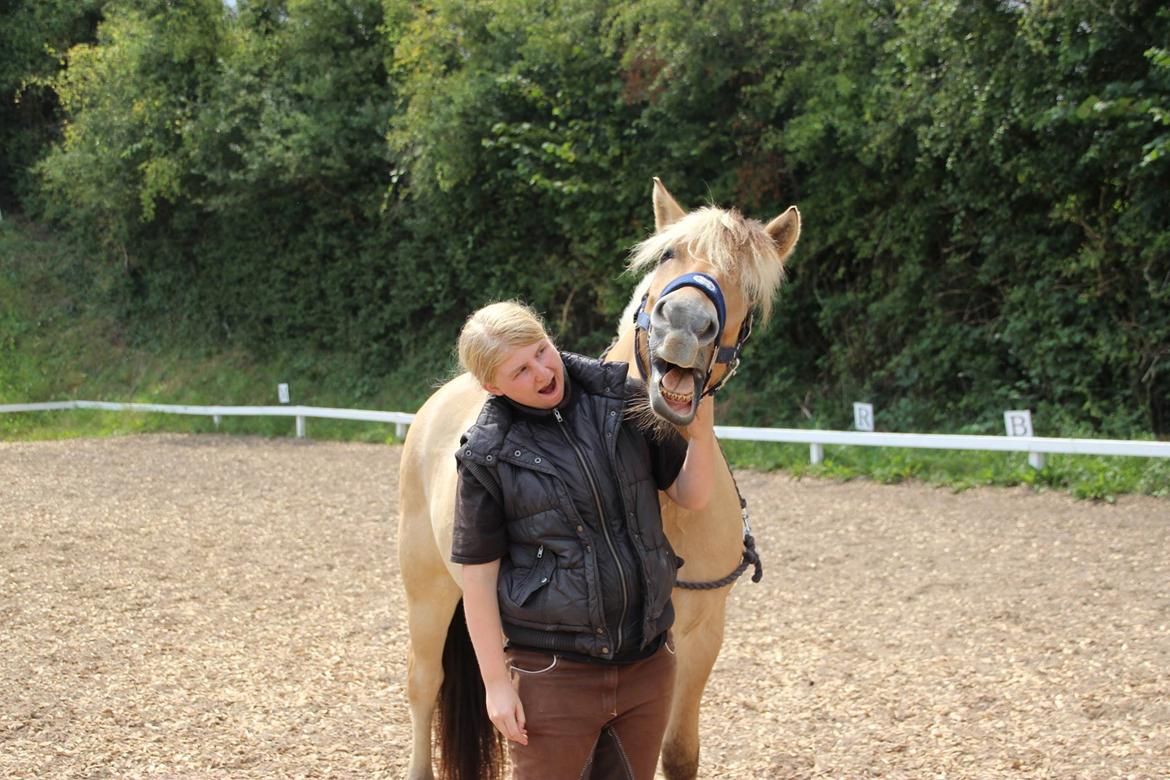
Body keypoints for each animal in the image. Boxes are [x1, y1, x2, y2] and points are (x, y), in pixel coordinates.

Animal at [397, 180, 800, 776]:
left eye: (748, 285)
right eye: (668, 254)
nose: (685, 324)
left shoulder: (700, 638)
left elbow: (677, 752)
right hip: (427, 590)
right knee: (425, 684)